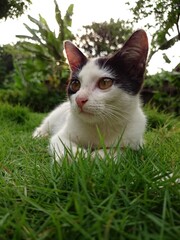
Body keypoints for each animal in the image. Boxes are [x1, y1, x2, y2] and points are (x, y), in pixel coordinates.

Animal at [33, 29, 148, 162]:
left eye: (105, 83)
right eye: (75, 84)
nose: (79, 99)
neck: (100, 126)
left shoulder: (136, 142)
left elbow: (123, 150)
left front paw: (98, 156)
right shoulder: (61, 135)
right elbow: (62, 143)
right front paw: (77, 157)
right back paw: (40, 134)